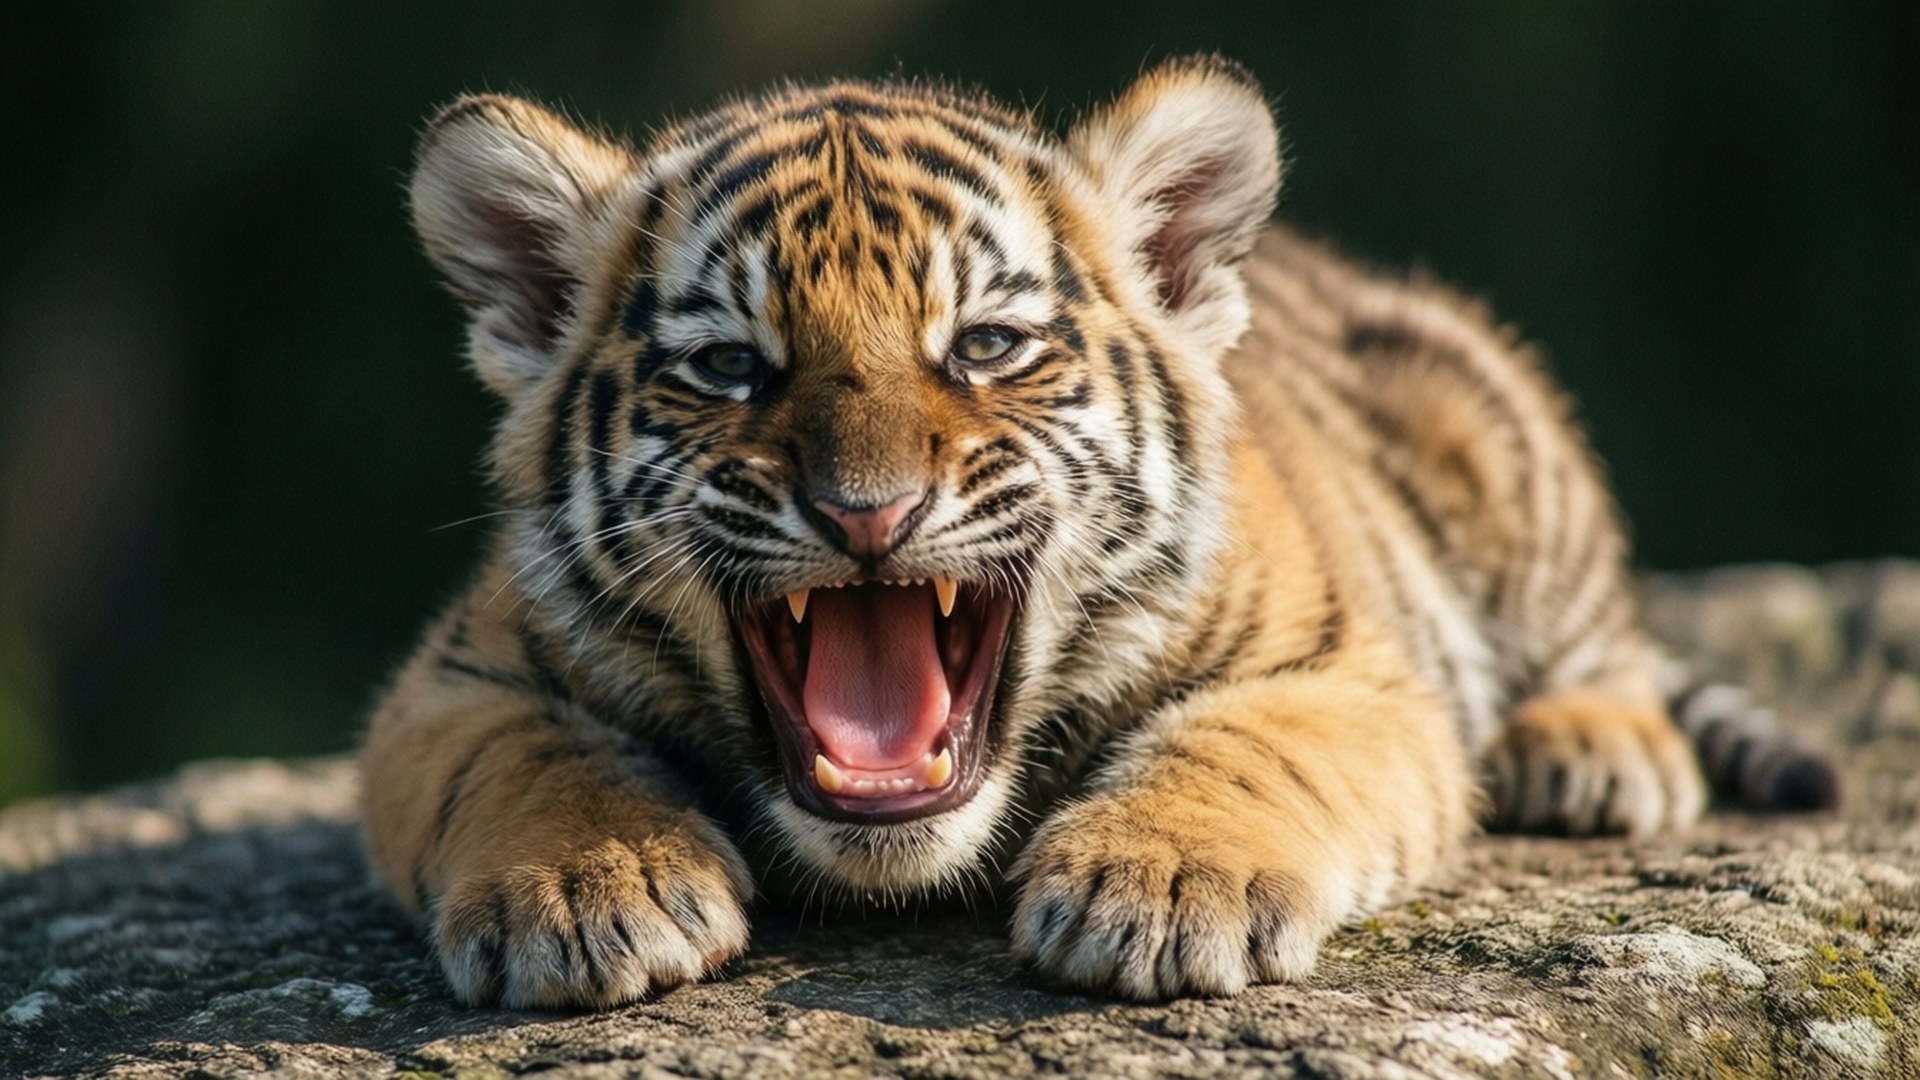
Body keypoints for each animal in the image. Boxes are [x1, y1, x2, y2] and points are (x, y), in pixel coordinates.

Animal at [360, 55, 1836, 1008]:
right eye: (731, 368)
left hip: (1495, 434)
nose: (866, 512)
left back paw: (1588, 751)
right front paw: (590, 886)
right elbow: (517, 757)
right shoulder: (450, 679)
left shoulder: (1346, 670)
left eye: (985, 347)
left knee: (1605, 641)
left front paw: (1169, 887)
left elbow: (1245, 742)